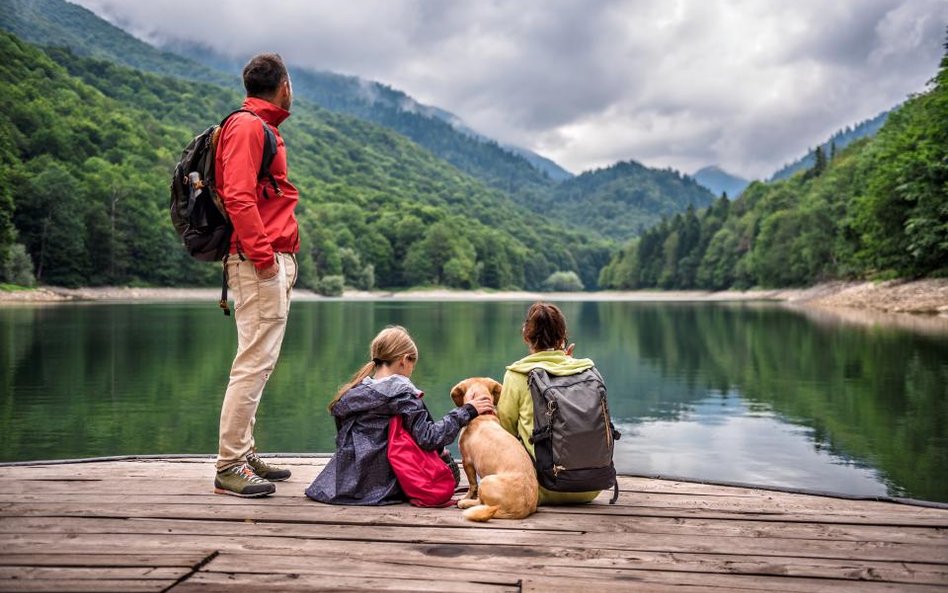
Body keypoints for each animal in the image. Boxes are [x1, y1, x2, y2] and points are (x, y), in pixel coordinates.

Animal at [450, 376, 536, 520]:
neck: (483, 415)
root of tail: (520, 510)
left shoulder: (466, 461)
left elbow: (472, 484)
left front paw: (466, 496)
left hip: (486, 481)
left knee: (480, 501)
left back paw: (464, 502)